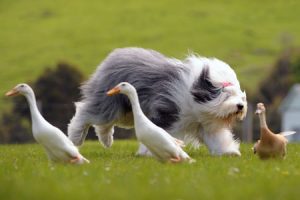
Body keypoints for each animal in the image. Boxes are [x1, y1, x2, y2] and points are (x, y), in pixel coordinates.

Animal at [68, 47, 246, 156]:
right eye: (225, 94)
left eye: (239, 95)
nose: (241, 106)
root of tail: (114, 56)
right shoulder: (169, 113)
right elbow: (161, 133)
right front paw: (151, 152)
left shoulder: (204, 122)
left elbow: (217, 138)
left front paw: (228, 152)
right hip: (109, 103)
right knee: (86, 113)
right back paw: (75, 138)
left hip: (125, 111)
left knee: (103, 124)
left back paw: (106, 140)